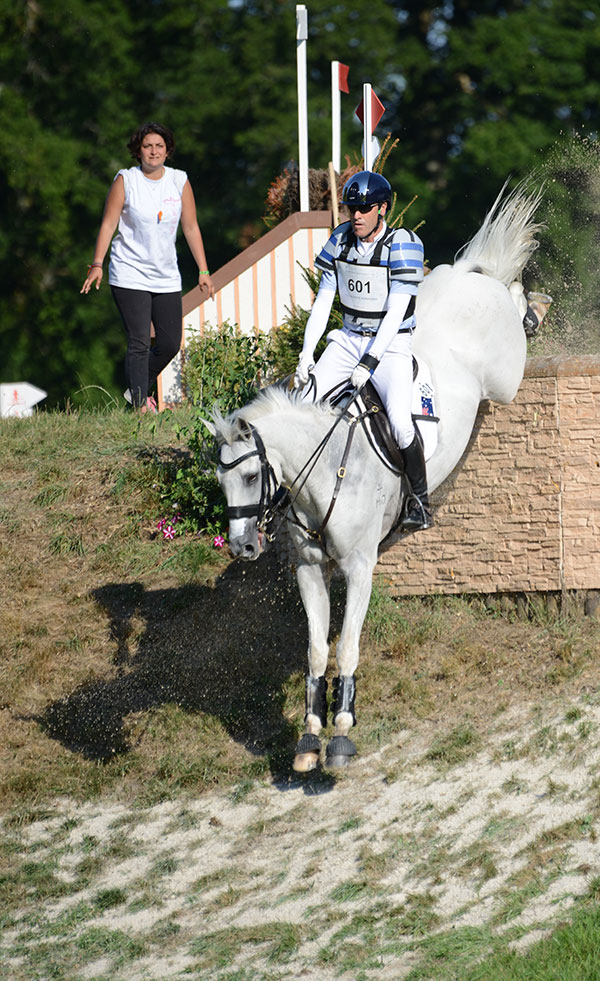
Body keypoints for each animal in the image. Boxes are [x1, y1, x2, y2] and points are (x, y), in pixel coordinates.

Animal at [206, 184, 544, 772]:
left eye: (250, 474)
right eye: (222, 481)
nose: (242, 548)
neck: (320, 477)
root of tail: (467, 281)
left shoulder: (361, 567)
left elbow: (345, 646)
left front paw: (341, 731)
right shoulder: (310, 570)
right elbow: (316, 650)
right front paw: (308, 736)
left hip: (504, 377)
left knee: (511, 296)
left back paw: (534, 307)